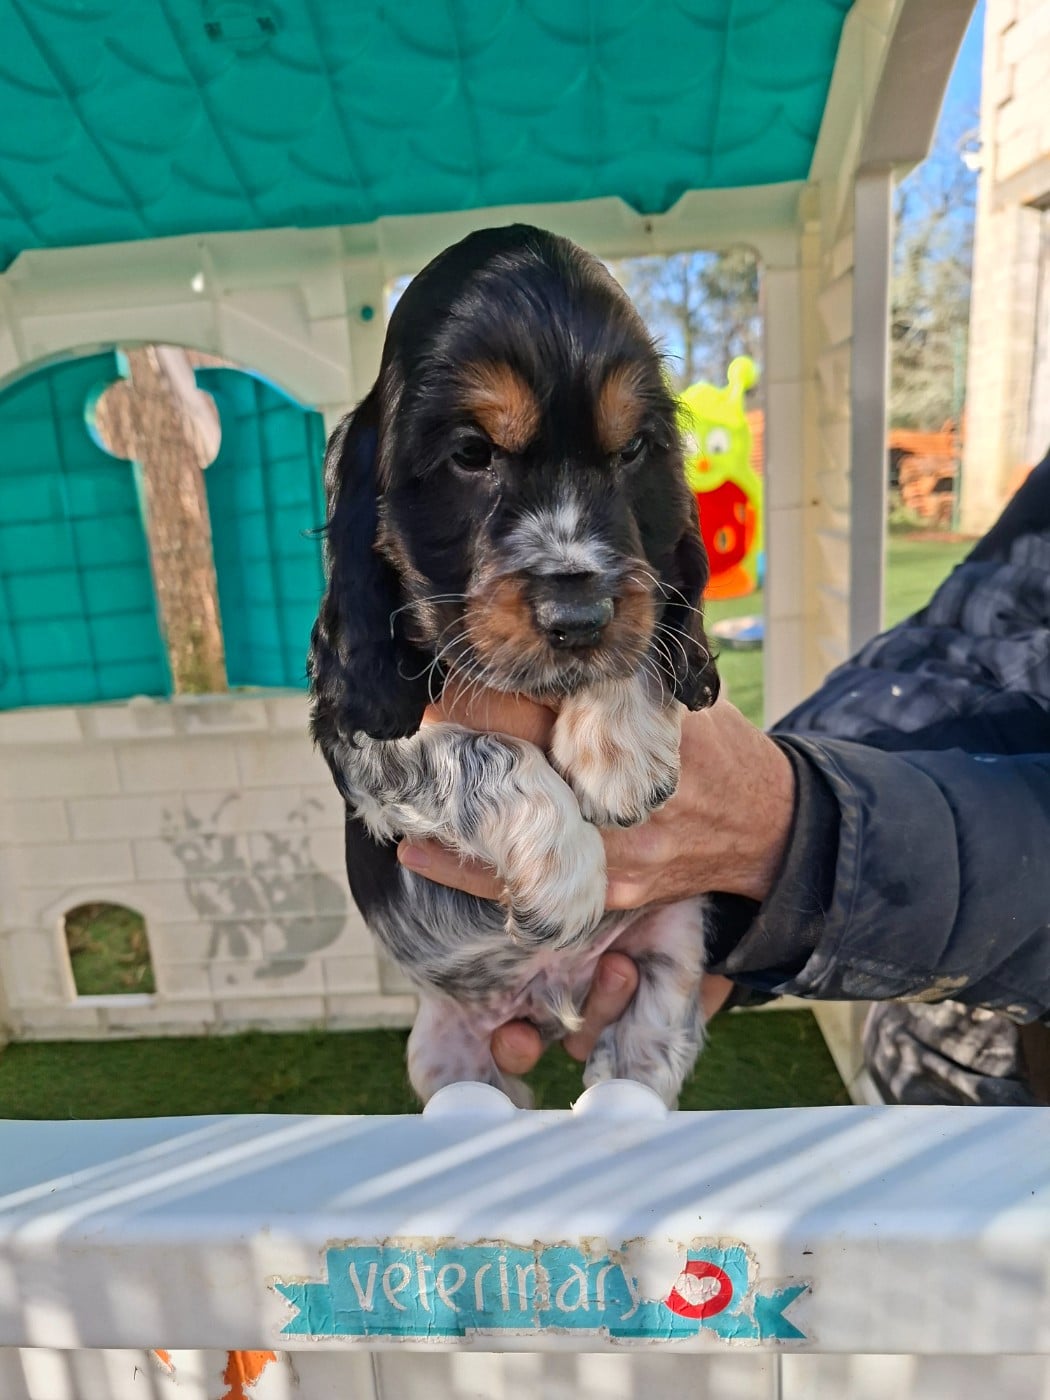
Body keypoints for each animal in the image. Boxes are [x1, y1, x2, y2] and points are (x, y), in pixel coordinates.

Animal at [309, 225, 720, 1108]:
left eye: (635, 450)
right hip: (441, 1051)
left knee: (642, 1055)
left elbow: (652, 619)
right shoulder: (354, 735)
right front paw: (565, 869)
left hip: (674, 939)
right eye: (471, 452)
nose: (578, 618)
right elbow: (474, 750)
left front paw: (619, 750)